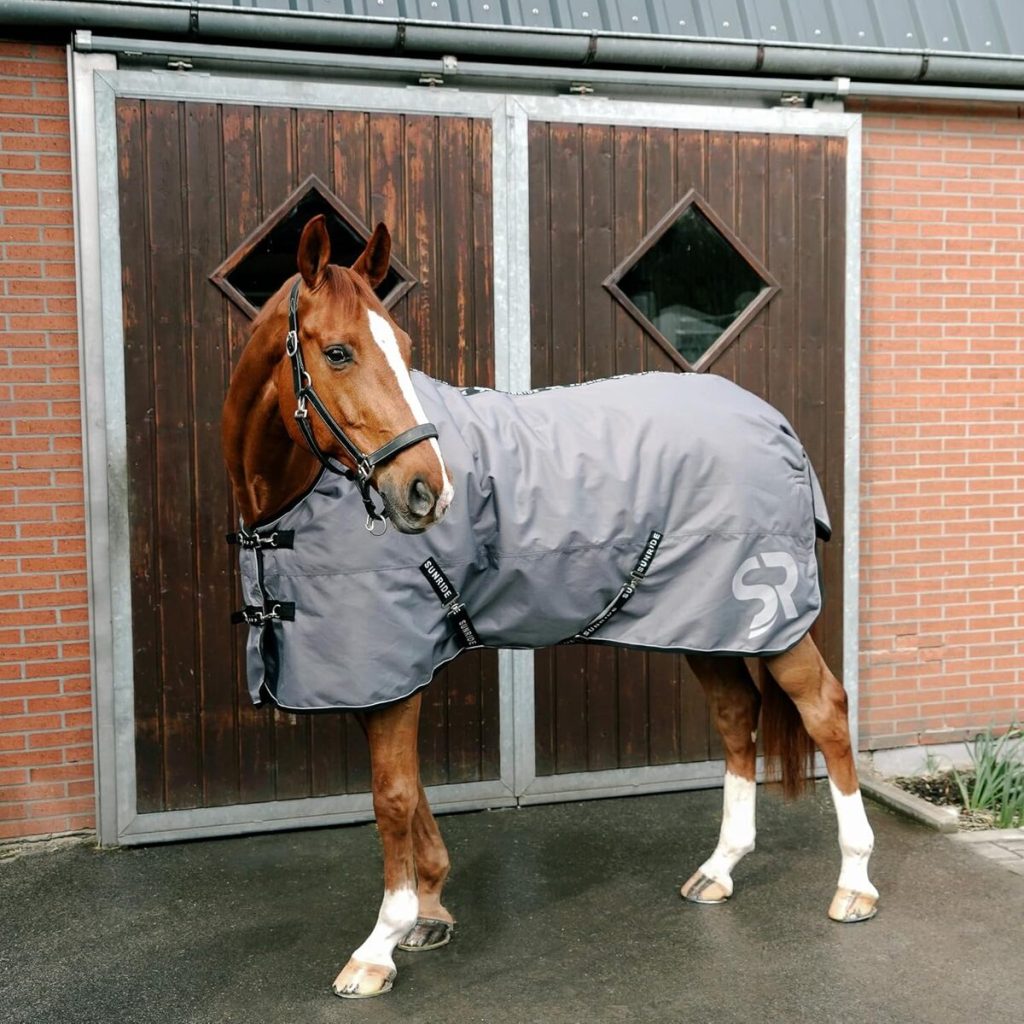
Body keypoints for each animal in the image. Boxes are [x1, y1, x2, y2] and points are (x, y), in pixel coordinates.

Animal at [222, 214, 878, 999]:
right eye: (340, 352)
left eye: (404, 349)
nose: (427, 491)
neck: (291, 508)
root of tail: (774, 423)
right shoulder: (368, 673)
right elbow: (409, 790)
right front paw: (430, 910)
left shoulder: (394, 670)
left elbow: (393, 796)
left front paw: (380, 945)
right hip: (704, 622)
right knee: (734, 716)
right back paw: (719, 870)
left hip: (770, 620)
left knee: (825, 711)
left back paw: (855, 883)